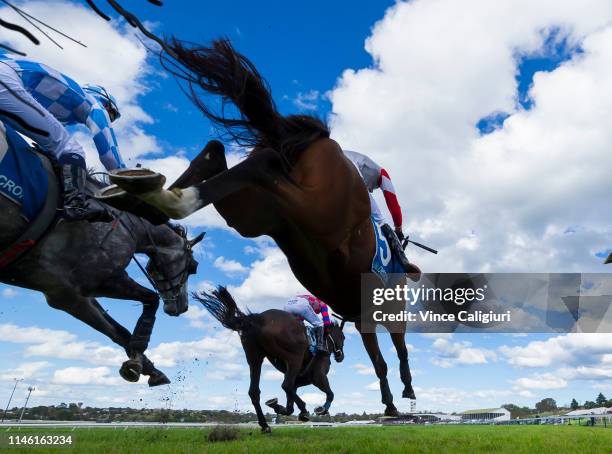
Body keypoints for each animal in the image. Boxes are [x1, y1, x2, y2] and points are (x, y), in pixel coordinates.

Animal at [0, 174, 203, 386]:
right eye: (193, 267)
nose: (183, 307)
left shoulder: (70, 295)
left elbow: (118, 331)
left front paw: (147, 366)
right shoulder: (89, 285)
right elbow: (150, 300)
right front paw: (138, 358)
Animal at [105, 38, 418, 414]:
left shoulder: (359, 316)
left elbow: (379, 359)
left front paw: (391, 398)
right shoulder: (378, 312)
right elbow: (394, 354)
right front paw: (402, 394)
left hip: (256, 216)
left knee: (222, 156)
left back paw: (142, 196)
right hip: (313, 211)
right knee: (262, 167)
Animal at [198, 288, 346, 432]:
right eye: (343, 337)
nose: (341, 356)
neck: (327, 341)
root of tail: (258, 318)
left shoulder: (300, 378)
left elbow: (290, 400)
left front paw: (279, 407)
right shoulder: (317, 376)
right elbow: (330, 393)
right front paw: (321, 409)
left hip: (255, 358)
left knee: (254, 391)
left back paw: (265, 424)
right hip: (294, 357)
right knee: (285, 385)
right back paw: (303, 410)